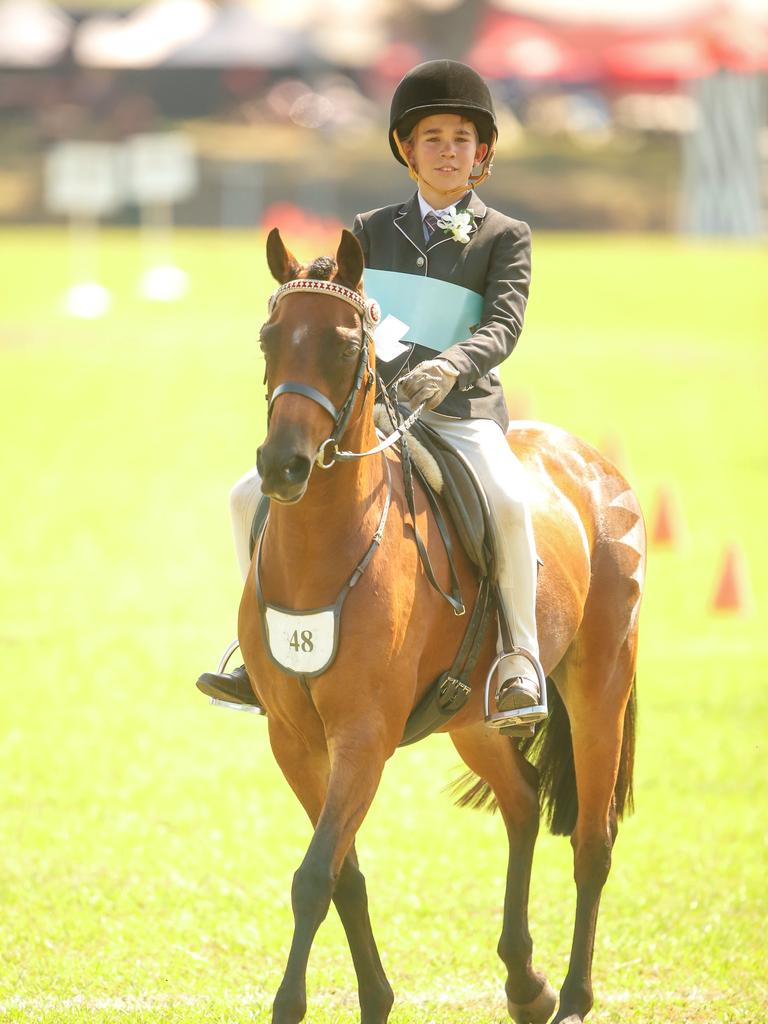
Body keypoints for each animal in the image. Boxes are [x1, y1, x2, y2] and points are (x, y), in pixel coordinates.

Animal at [237, 230, 647, 1024]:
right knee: (522, 801)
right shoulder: (294, 740)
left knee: (592, 841)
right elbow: (343, 874)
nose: (283, 466)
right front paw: (375, 998)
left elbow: (314, 877)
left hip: (600, 686)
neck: (324, 550)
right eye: (269, 338)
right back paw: (525, 984)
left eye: (344, 345)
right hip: (474, 720)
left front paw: (290, 1004)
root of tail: (591, 462)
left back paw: (573, 997)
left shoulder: (363, 735)